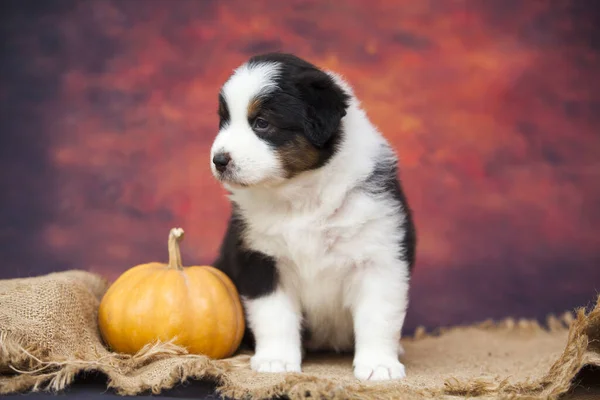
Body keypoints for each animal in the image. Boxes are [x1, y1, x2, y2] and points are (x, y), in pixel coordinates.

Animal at [209, 53, 414, 382]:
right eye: (223, 121)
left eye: (262, 123)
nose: (219, 160)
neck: (301, 196)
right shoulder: (261, 258)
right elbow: (274, 315)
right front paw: (276, 361)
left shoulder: (379, 255)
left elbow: (378, 315)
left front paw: (379, 365)